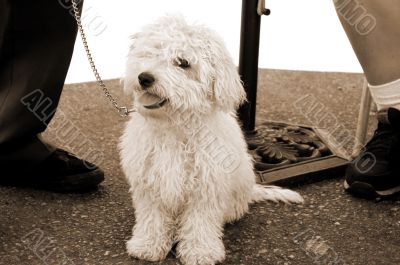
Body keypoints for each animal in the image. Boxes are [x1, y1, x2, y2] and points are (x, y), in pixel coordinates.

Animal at [119, 15, 304, 262]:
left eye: (183, 63)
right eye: (151, 52)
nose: (144, 77)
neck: (175, 127)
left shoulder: (206, 186)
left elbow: (200, 222)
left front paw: (200, 251)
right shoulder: (150, 183)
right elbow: (152, 217)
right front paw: (147, 244)